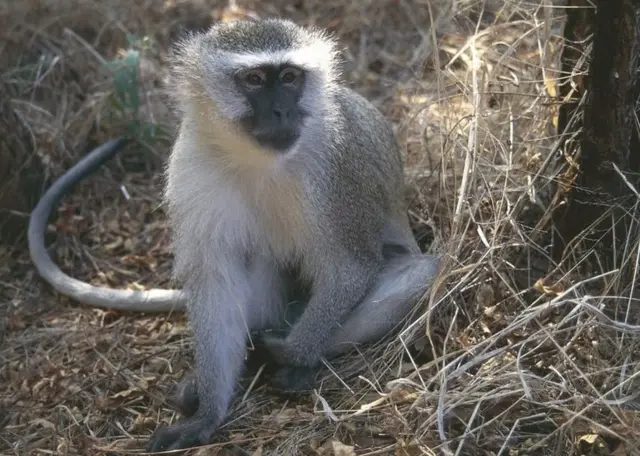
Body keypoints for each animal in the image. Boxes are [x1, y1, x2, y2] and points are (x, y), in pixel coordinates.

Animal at [25, 18, 441, 453]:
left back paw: (282, 356)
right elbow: (216, 282)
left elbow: (350, 268)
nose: (281, 110)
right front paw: (208, 412)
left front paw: (292, 352)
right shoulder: (191, 162)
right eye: (254, 79)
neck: (255, 158)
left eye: (290, 78)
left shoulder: (337, 166)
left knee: (419, 273)